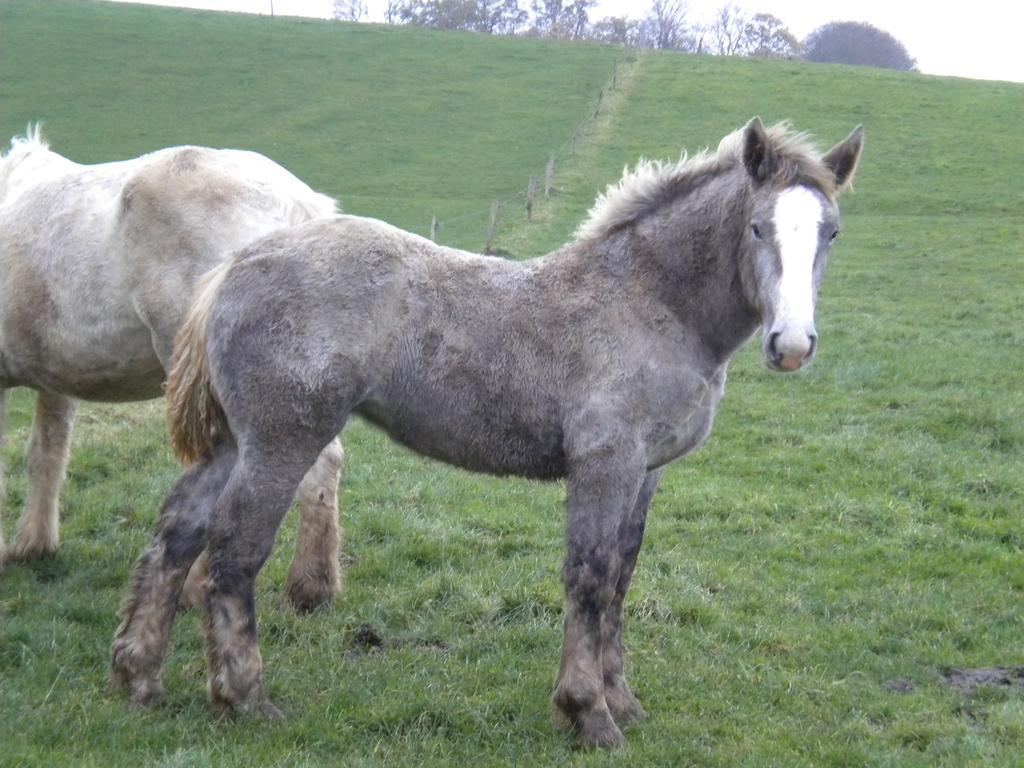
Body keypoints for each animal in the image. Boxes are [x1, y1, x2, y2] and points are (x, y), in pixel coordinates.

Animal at [114, 120, 864, 753]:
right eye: (760, 227)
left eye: (831, 233)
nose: (792, 345)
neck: (650, 301)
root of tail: (236, 265)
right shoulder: (605, 463)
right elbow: (589, 578)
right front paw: (588, 714)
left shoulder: (646, 472)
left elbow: (621, 578)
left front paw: (622, 701)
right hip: (282, 440)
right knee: (234, 550)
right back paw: (243, 698)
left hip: (234, 442)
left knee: (178, 532)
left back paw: (139, 678)